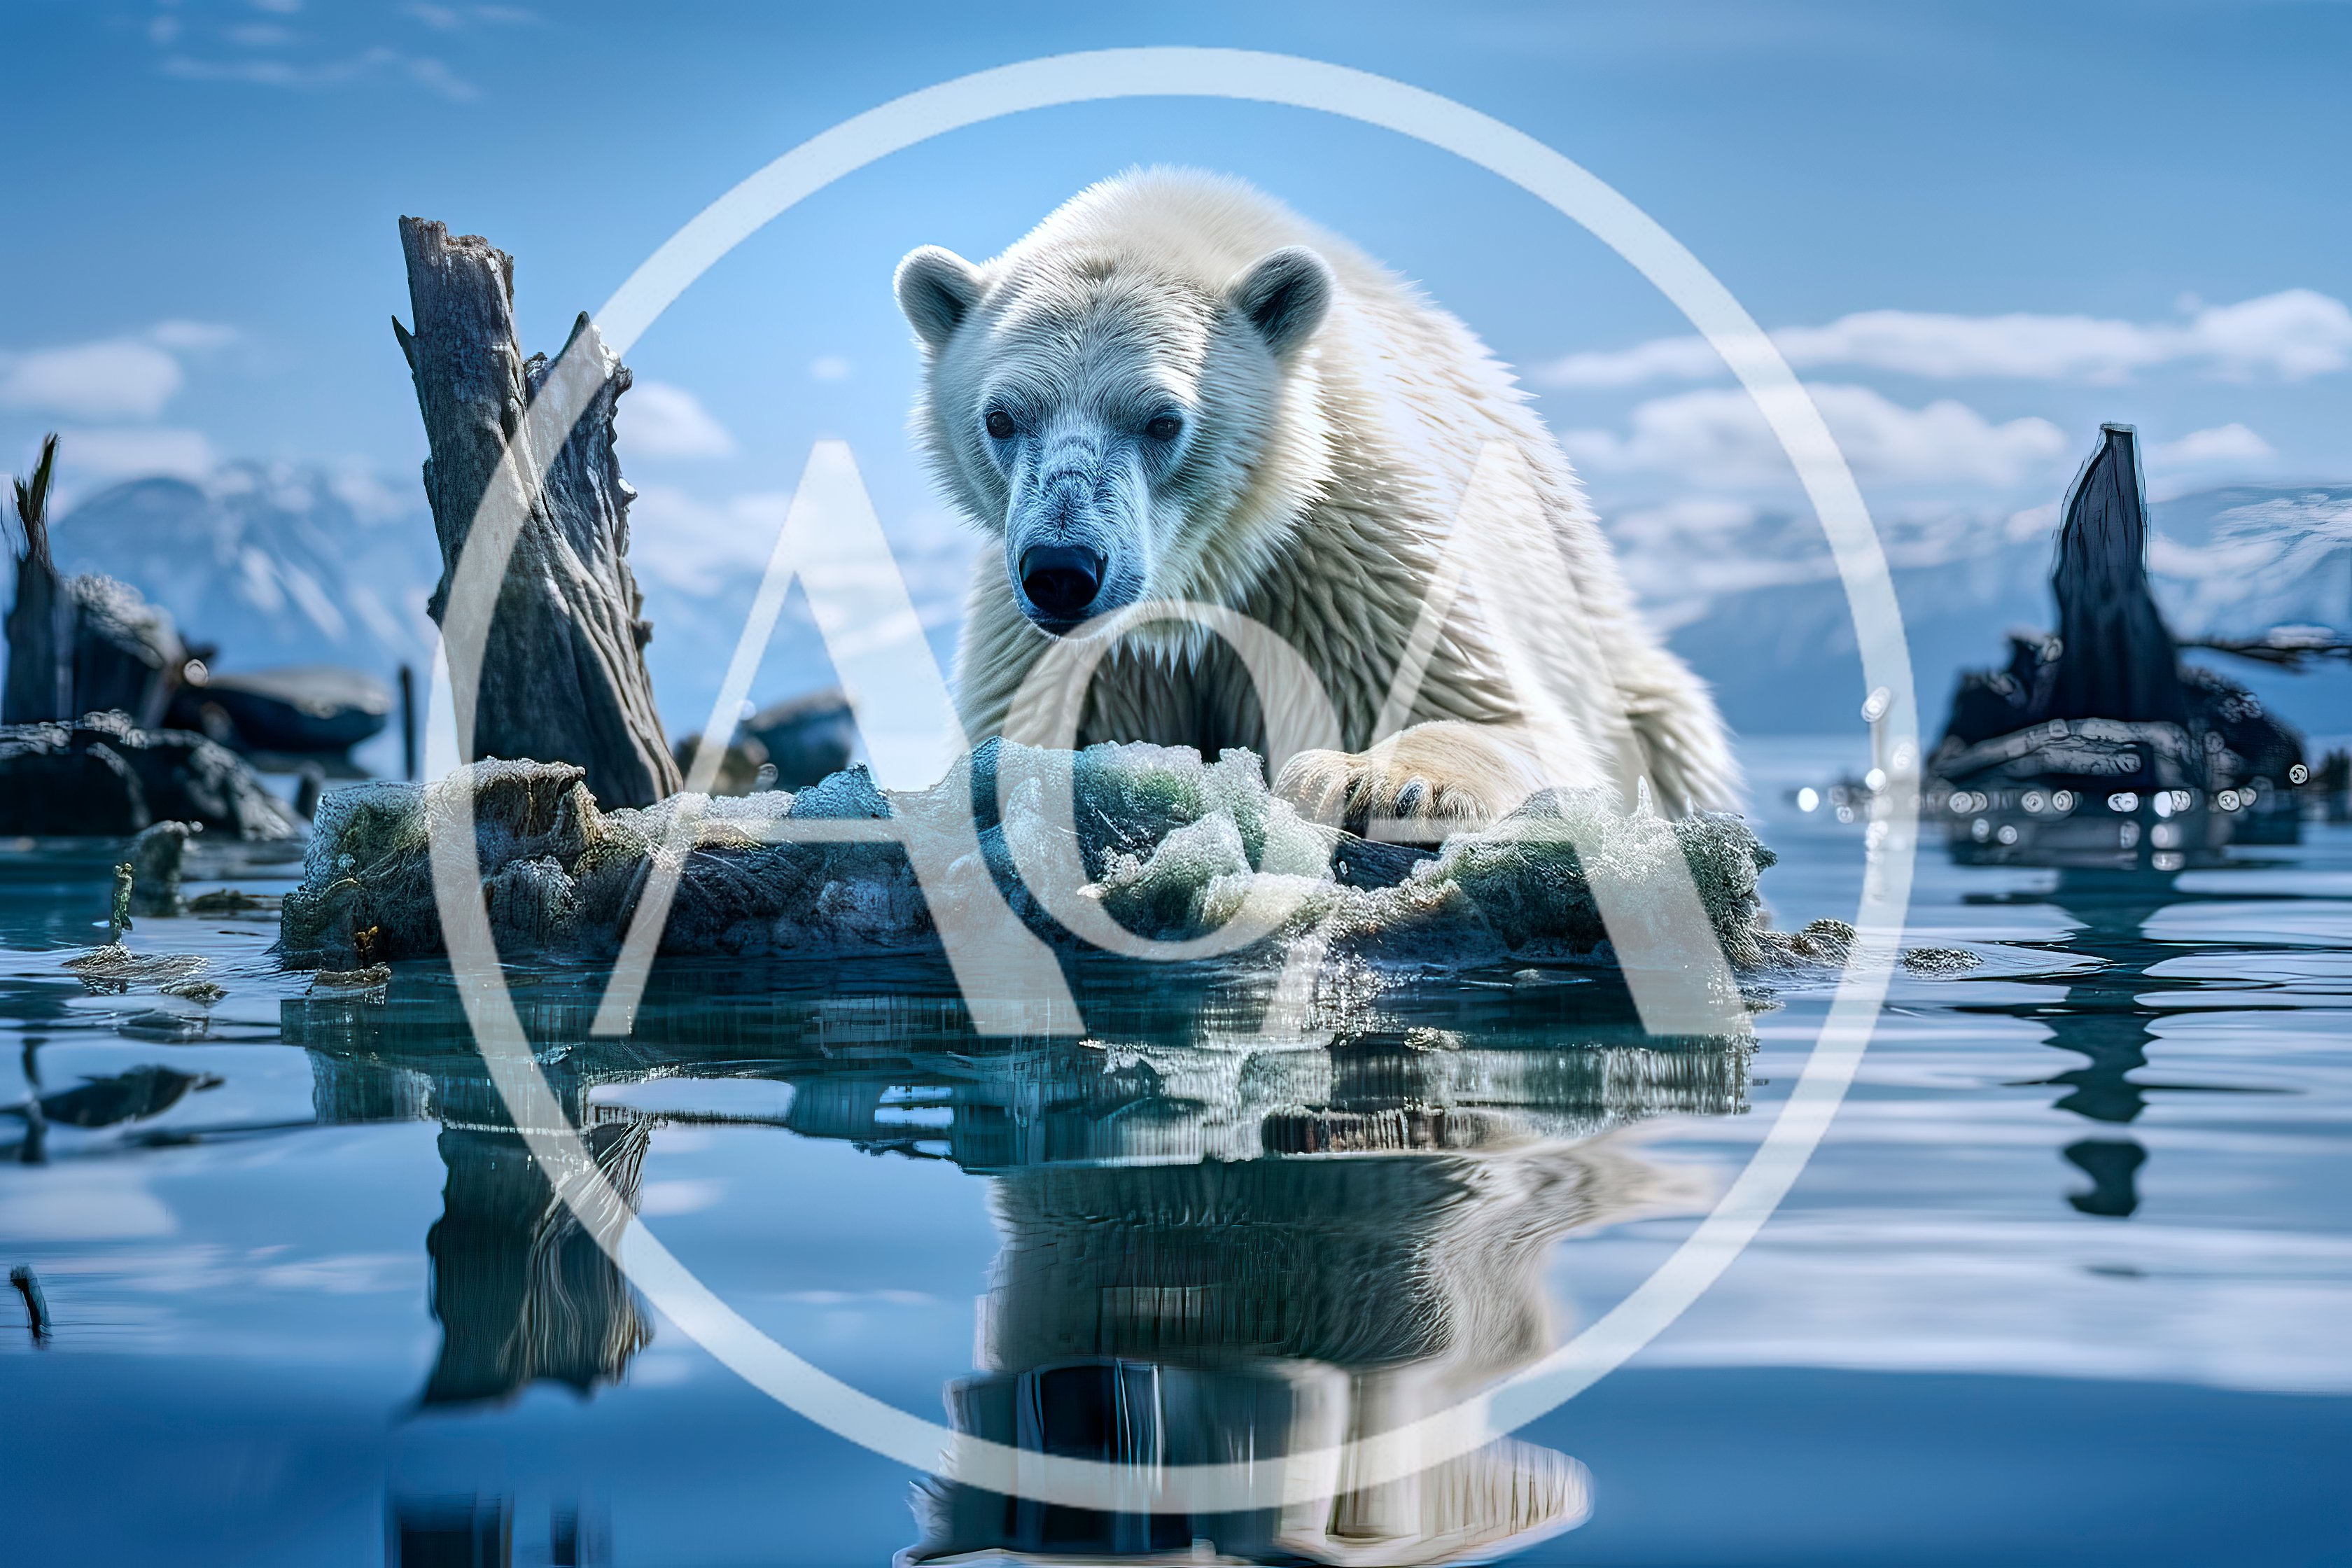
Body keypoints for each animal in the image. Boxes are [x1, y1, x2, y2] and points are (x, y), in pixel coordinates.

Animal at [894, 168, 1736, 836]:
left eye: (1163, 419)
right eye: (1001, 418)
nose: (1063, 570)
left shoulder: (1344, 552)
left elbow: (1484, 707)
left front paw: (1380, 781)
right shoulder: (1058, 646)